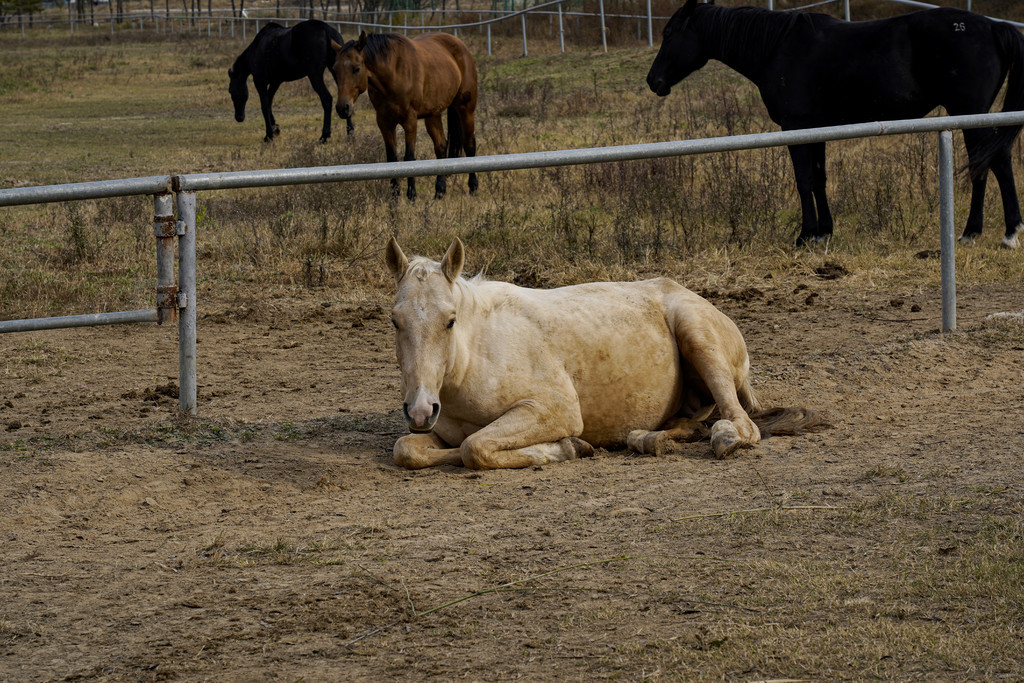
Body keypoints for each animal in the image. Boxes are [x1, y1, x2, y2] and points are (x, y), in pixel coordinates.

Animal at [226, 20, 354, 143]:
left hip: (315, 75)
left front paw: (269, 135)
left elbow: (264, 105)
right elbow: (269, 102)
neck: (256, 48)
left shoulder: (260, 82)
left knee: (326, 99)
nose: (239, 117)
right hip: (337, 72)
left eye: (231, 91)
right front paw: (275, 128)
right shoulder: (275, 82)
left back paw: (324, 136)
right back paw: (350, 132)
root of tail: (326, 30)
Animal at [335, 33, 479, 198]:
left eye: (356, 68)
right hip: (433, 115)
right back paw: (439, 191)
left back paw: (473, 187)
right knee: (441, 146)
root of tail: (459, 44)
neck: (394, 73)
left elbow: (409, 158)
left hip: (465, 108)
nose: (342, 108)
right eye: (335, 70)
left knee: (469, 144)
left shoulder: (410, 121)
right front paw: (395, 195)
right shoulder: (385, 122)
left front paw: (411, 195)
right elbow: (392, 158)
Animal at [385, 239, 823, 471]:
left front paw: (565, 448)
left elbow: (474, 448)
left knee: (741, 424)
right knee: (688, 425)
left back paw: (724, 437)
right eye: (394, 321)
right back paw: (646, 439)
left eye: (450, 321)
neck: (473, 355)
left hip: (699, 338)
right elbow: (409, 450)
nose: (421, 409)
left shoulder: (553, 410)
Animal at [647, 0, 1024, 250]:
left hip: (971, 112)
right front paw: (824, 232)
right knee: (982, 165)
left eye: (670, 33)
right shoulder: (816, 129)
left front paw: (804, 236)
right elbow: (819, 180)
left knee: (997, 162)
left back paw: (1007, 234)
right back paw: (972, 233)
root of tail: (992, 26)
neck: (777, 47)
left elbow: (803, 181)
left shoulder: (796, 128)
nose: (654, 81)